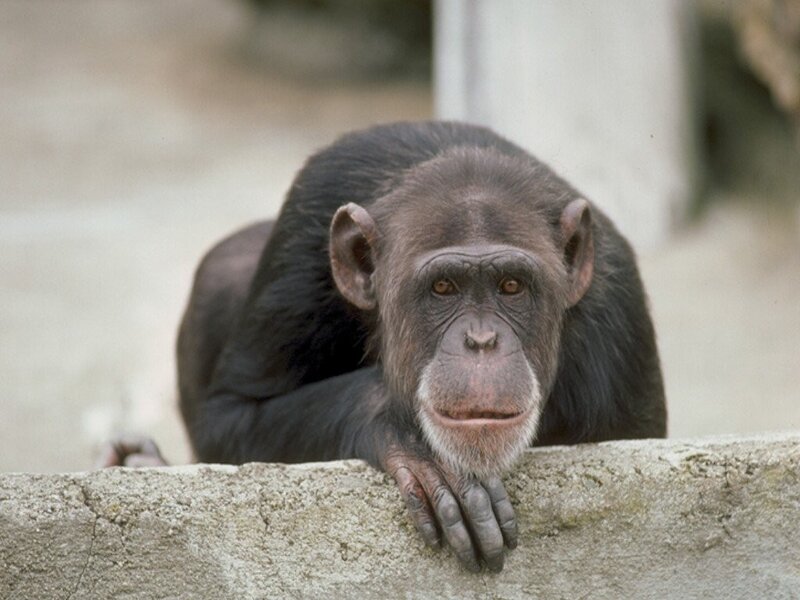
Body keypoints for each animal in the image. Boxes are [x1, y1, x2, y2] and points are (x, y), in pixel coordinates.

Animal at [100, 121, 666, 572]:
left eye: (511, 286)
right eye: (443, 288)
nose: (481, 340)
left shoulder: (617, 324)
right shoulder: (303, 235)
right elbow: (230, 415)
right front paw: (406, 434)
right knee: (224, 265)